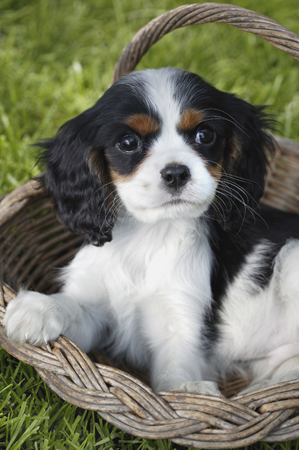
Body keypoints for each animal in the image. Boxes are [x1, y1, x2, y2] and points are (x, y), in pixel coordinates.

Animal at [3, 68, 299, 396]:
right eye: (128, 142)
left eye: (205, 135)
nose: (176, 173)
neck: (152, 233)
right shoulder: (95, 312)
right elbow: (75, 308)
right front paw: (40, 307)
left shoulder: (182, 324)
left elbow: (171, 377)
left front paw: (190, 393)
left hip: (292, 261)